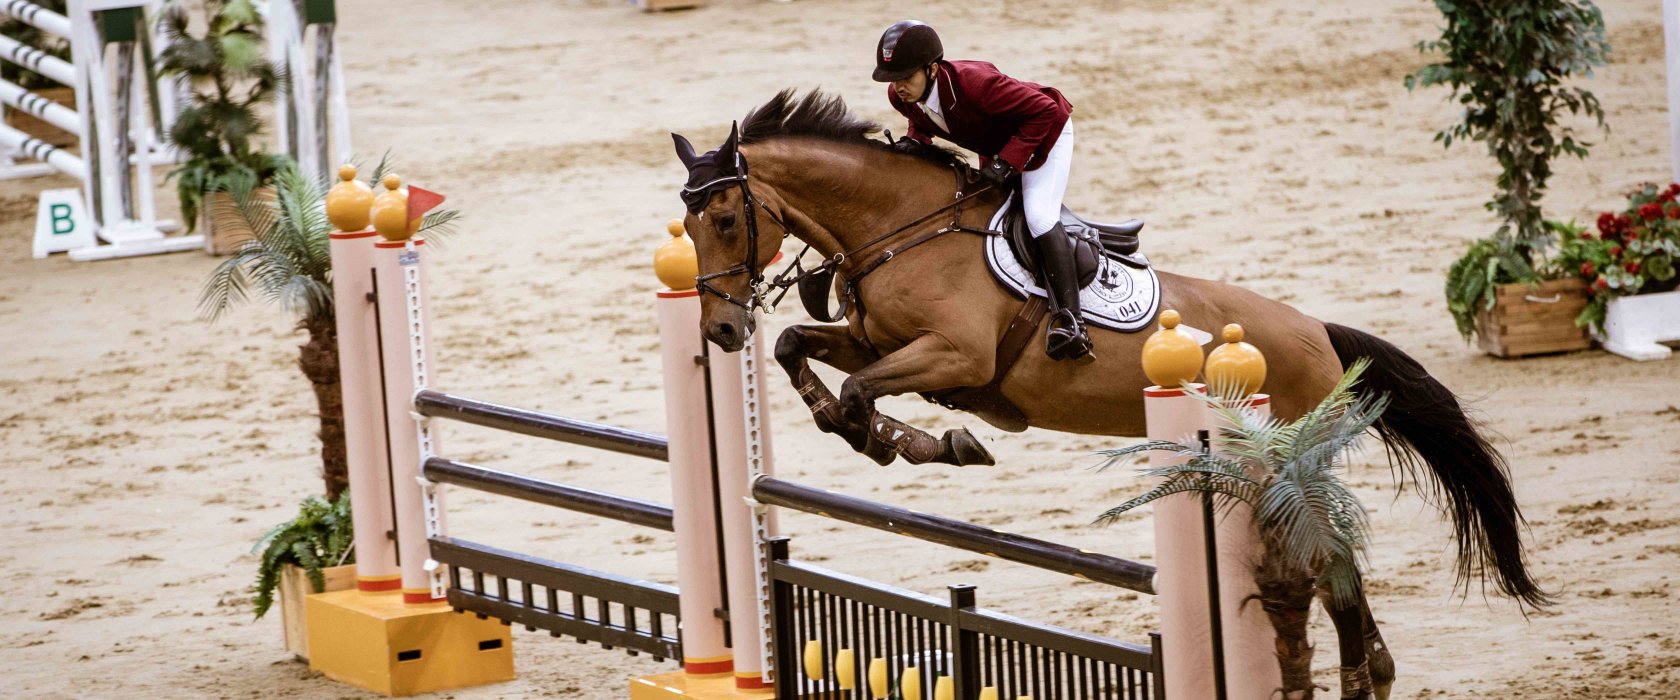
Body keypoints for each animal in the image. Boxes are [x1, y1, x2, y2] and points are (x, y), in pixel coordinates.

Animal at [668, 91, 1545, 698]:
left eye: (725, 217)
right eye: (695, 223)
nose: (720, 330)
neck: (900, 227)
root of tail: (1320, 334)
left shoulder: (952, 354)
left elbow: (859, 393)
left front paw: (923, 443)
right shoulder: (878, 340)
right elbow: (799, 350)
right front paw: (878, 431)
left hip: (1273, 464)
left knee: (1327, 561)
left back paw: (1365, 676)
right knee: (1333, 563)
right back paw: (1377, 672)